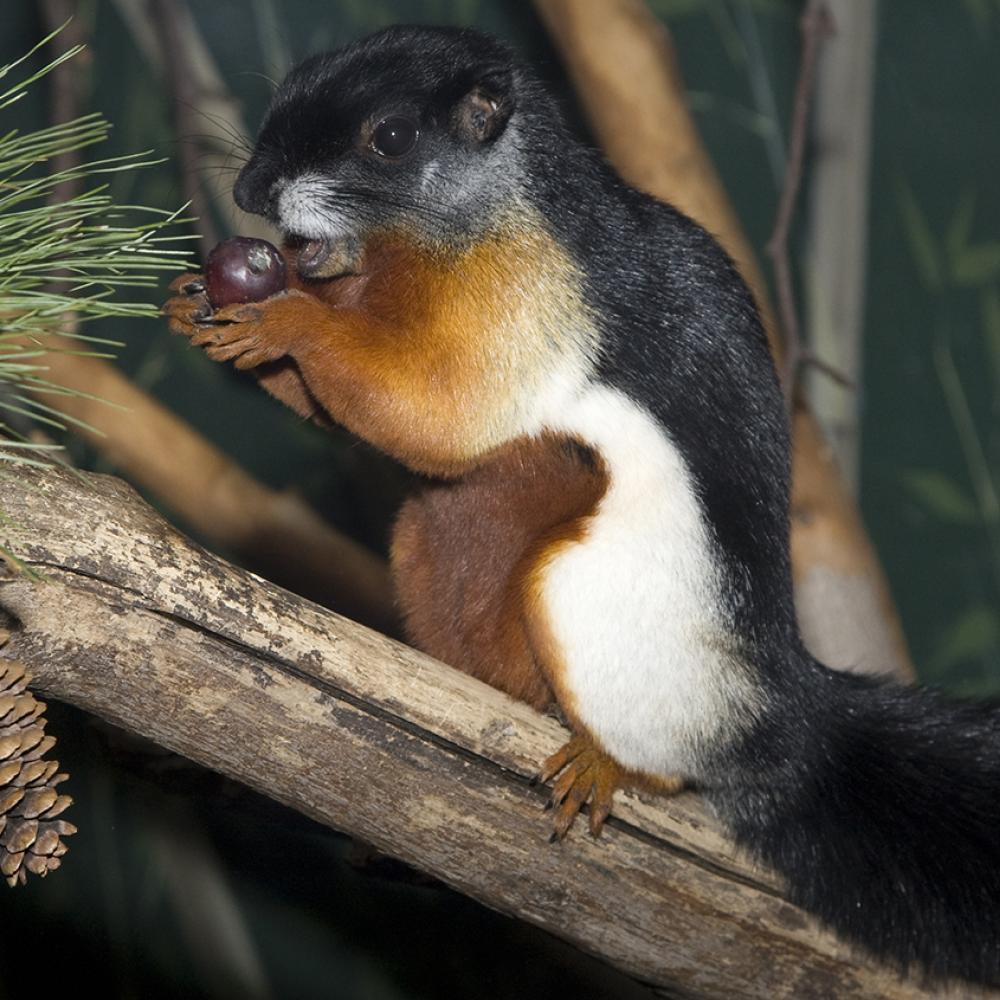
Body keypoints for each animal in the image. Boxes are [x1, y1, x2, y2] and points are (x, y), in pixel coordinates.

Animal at [164, 25, 1000, 992]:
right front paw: (200, 306)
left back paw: (604, 765)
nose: (249, 191)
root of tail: (784, 721)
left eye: (391, 138)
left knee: (669, 765)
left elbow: (439, 411)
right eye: (294, 81)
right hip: (433, 540)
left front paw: (288, 320)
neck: (443, 236)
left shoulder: (527, 302)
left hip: (586, 600)